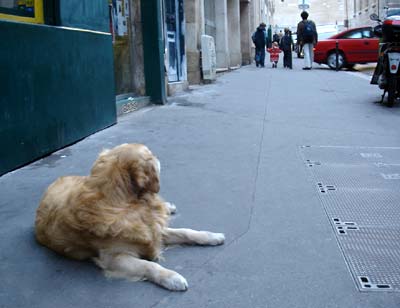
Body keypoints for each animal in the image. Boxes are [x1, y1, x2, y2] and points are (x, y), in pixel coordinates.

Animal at [35, 143, 223, 290]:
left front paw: (212, 236)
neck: (126, 203)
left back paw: (169, 207)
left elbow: (186, 231)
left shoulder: (153, 230)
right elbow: (149, 265)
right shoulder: (114, 258)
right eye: (150, 154)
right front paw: (172, 277)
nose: (158, 155)